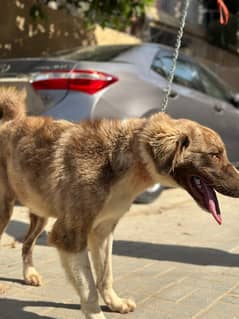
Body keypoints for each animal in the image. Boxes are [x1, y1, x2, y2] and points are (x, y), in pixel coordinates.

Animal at [0, 87, 239, 319]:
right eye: (215, 155)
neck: (121, 158)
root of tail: (9, 122)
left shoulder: (103, 231)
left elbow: (105, 275)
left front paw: (115, 303)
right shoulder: (69, 235)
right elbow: (89, 289)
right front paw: (97, 315)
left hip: (40, 213)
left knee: (27, 243)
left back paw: (30, 274)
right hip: (6, 211)